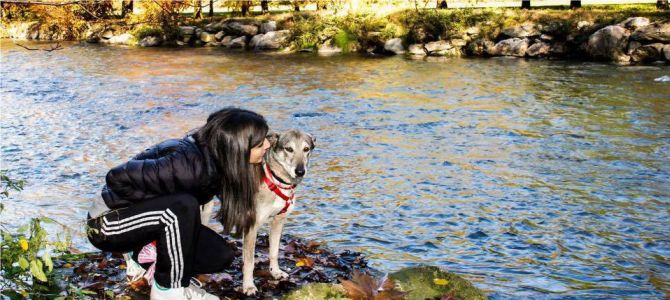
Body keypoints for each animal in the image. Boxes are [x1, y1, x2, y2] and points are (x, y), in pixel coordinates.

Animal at [200, 128, 318, 296]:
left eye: (306, 149)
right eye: (289, 149)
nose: (300, 171)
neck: (275, 179)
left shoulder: (278, 222)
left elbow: (274, 252)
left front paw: (275, 272)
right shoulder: (251, 226)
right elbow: (249, 262)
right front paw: (249, 286)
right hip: (205, 209)